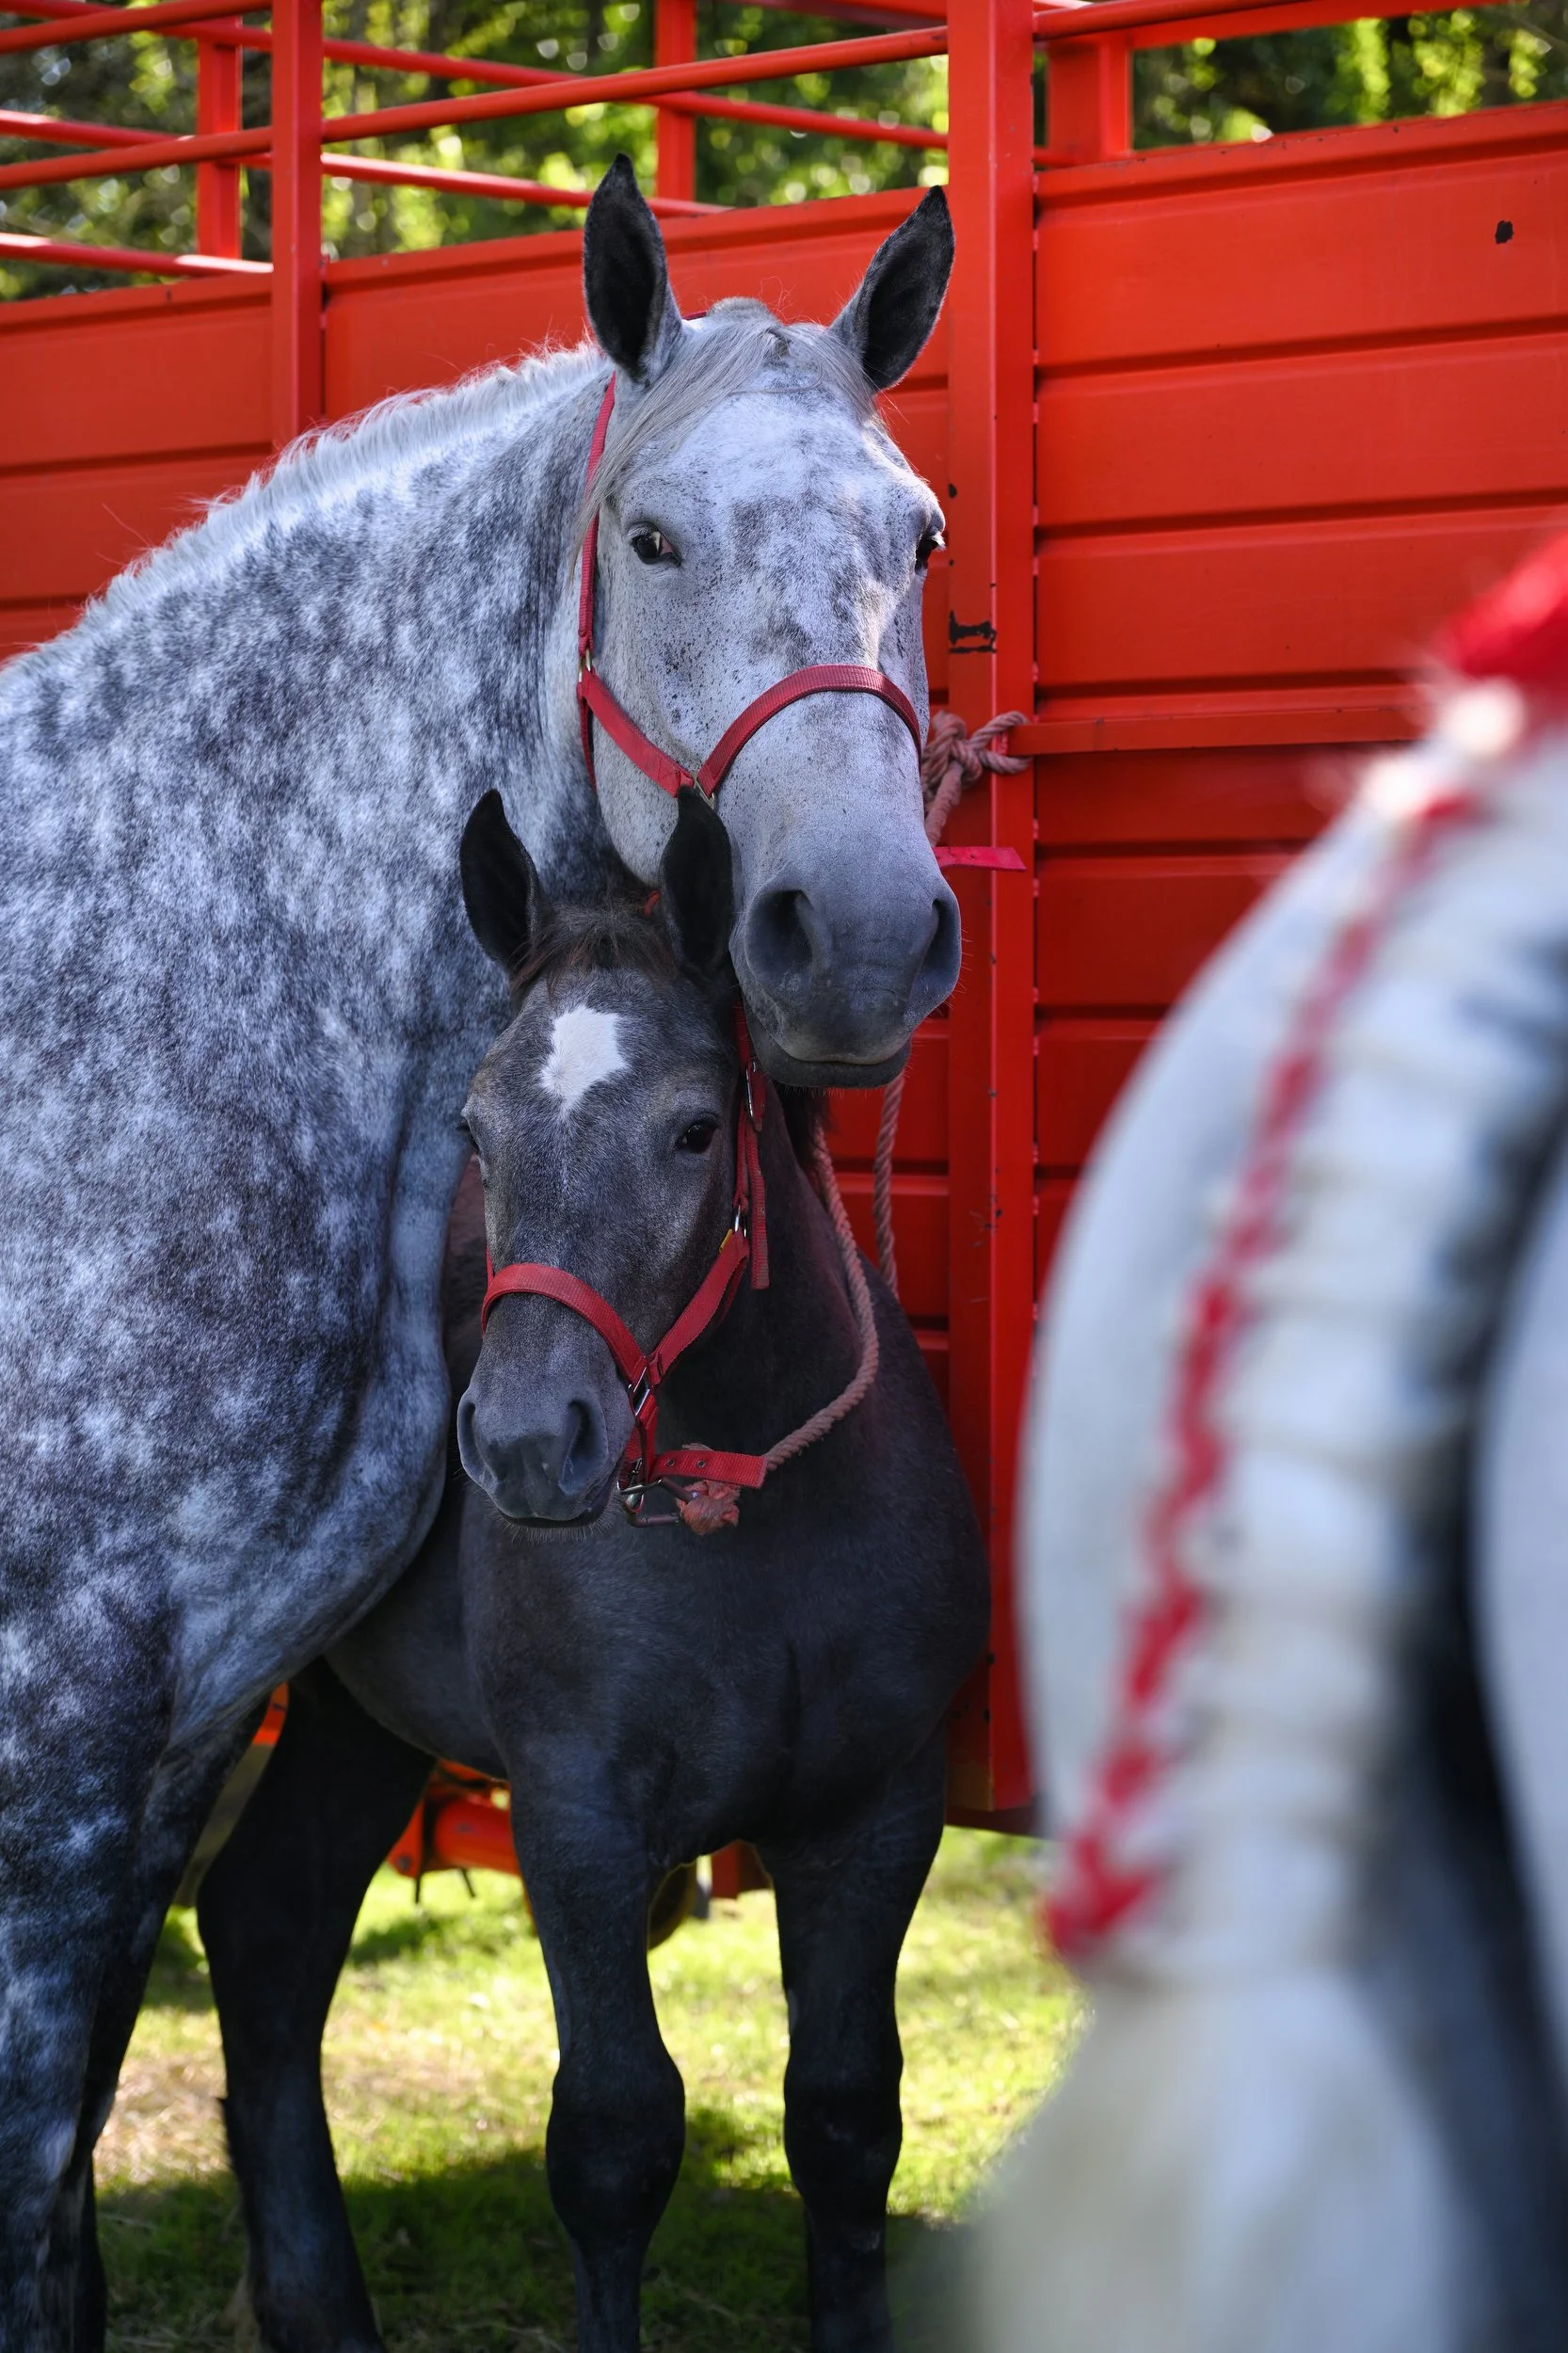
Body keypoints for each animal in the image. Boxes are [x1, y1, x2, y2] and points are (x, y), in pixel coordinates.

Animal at [181, 783, 990, 2353]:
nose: (521, 1440)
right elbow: (614, 2142)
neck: (750, 1518)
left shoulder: (873, 1812)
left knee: (265, 1929)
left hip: (353, 1721)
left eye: (692, 1129)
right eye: (474, 1129)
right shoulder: (578, 1818)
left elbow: (846, 2121)